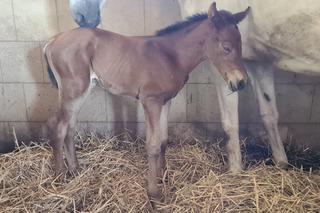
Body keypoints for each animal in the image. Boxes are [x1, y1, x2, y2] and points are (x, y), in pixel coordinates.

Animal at [44, 2, 250, 200]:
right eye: (226, 47)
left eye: (242, 45)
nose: (241, 82)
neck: (170, 56)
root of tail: (52, 41)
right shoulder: (151, 101)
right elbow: (152, 145)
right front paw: (154, 194)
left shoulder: (166, 100)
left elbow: (163, 140)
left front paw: (163, 177)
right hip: (73, 90)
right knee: (58, 126)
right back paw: (60, 178)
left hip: (82, 90)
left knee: (70, 127)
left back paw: (75, 170)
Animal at [179, 0, 320, 172]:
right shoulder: (258, 61)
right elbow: (268, 114)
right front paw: (281, 163)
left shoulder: (223, 67)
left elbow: (230, 121)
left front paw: (235, 171)